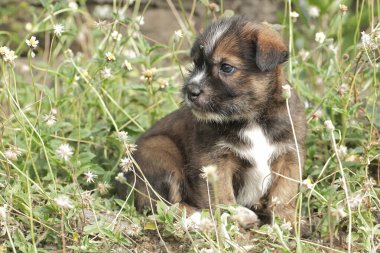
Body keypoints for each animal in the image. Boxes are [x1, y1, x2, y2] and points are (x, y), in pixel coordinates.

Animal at [116, 16, 306, 226]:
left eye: (226, 67)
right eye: (196, 63)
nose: (190, 91)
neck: (252, 119)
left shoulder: (289, 154)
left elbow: (284, 191)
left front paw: (287, 222)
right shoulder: (214, 159)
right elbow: (220, 193)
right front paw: (233, 214)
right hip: (160, 150)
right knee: (165, 206)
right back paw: (206, 219)